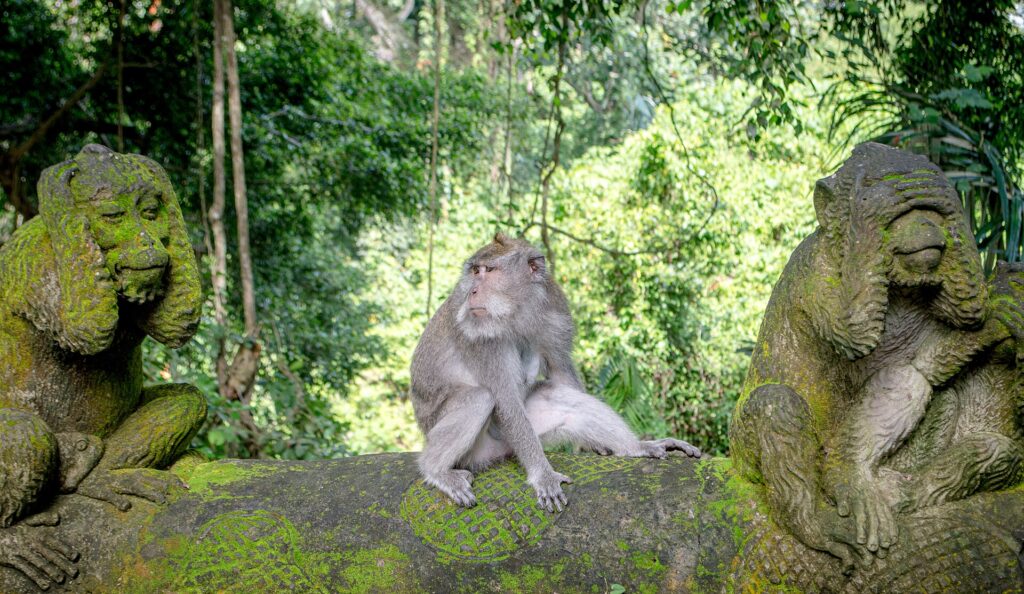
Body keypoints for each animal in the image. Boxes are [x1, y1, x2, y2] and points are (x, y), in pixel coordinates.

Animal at [411, 233, 700, 512]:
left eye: (488, 271)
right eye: (474, 271)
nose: (471, 291)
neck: (517, 310)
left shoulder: (555, 311)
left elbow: (561, 372)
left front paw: (597, 446)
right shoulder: (479, 338)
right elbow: (506, 400)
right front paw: (543, 475)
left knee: (560, 398)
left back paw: (637, 447)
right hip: (472, 449)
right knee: (479, 398)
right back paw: (436, 470)